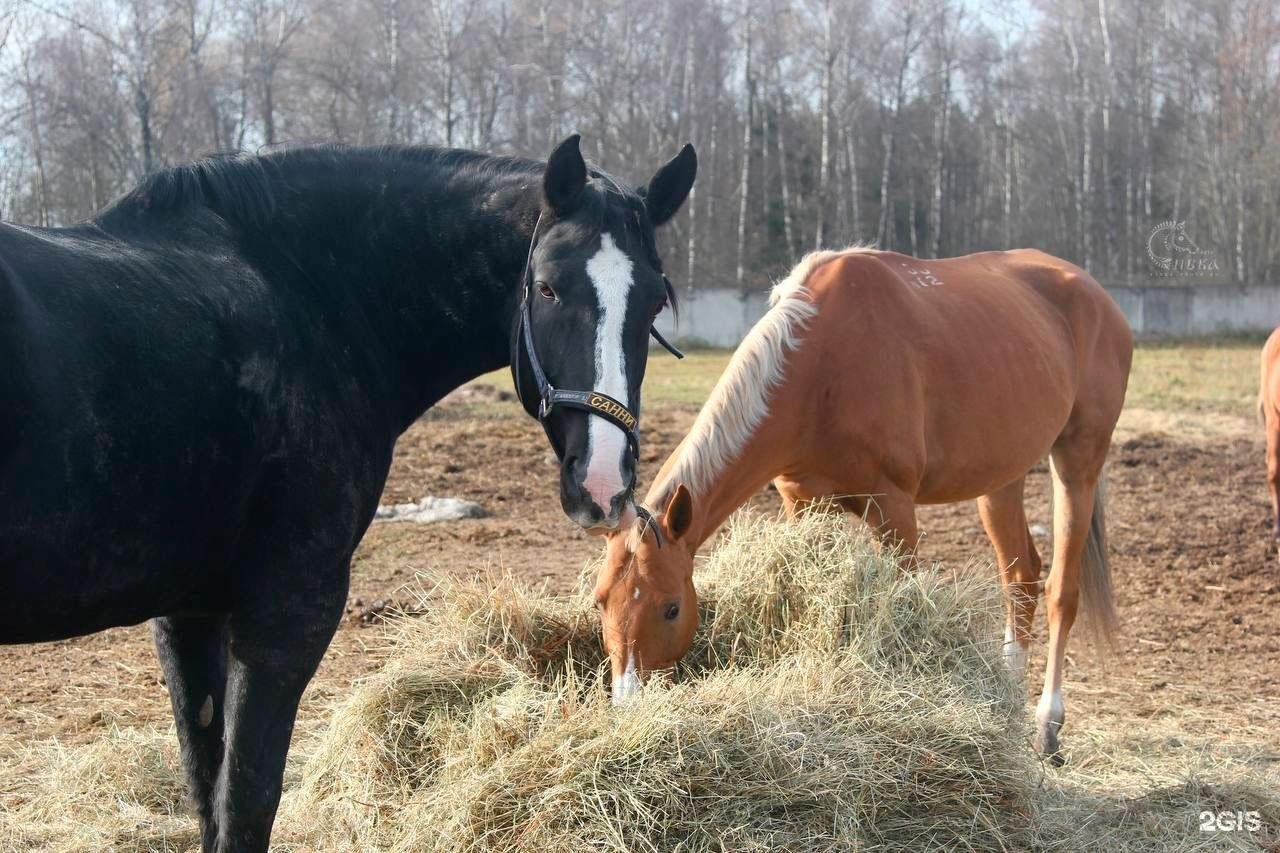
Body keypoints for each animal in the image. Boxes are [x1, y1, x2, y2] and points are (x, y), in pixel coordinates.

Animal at [0, 136, 696, 845]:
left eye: (653, 303)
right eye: (549, 287)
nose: (603, 482)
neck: (306, 292)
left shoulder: (187, 613)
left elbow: (207, 791)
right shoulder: (287, 611)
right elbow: (245, 801)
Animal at [593, 244, 1136, 758]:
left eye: (670, 608)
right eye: (600, 602)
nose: (628, 703)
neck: (821, 364)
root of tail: (1097, 295)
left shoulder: (894, 509)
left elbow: (901, 601)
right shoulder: (803, 504)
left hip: (1077, 463)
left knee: (1061, 590)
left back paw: (1047, 724)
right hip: (1002, 478)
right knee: (1020, 577)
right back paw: (1007, 704)